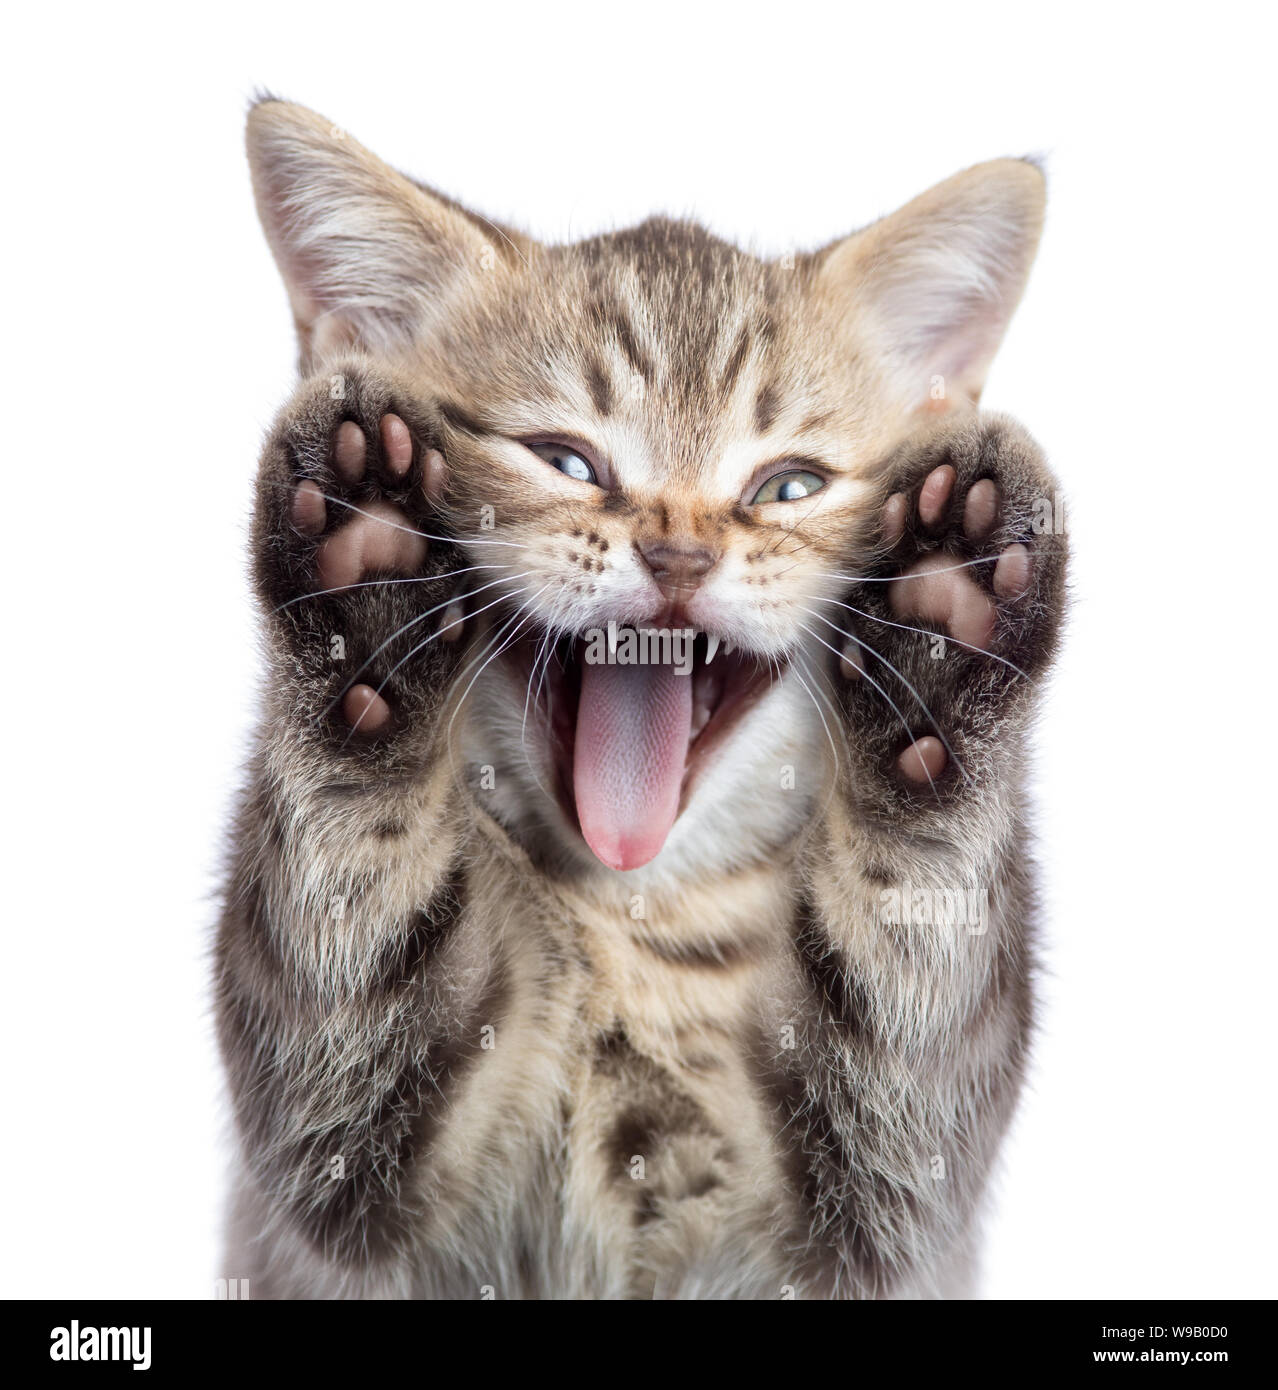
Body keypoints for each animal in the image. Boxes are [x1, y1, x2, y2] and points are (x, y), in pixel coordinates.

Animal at [219, 100, 1068, 1301]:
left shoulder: (888, 1203)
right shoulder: (333, 1155)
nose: (677, 550)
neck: (637, 918)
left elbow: (914, 959)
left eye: (789, 486)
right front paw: (362, 608)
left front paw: (942, 654)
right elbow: (346, 905)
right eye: (566, 459)